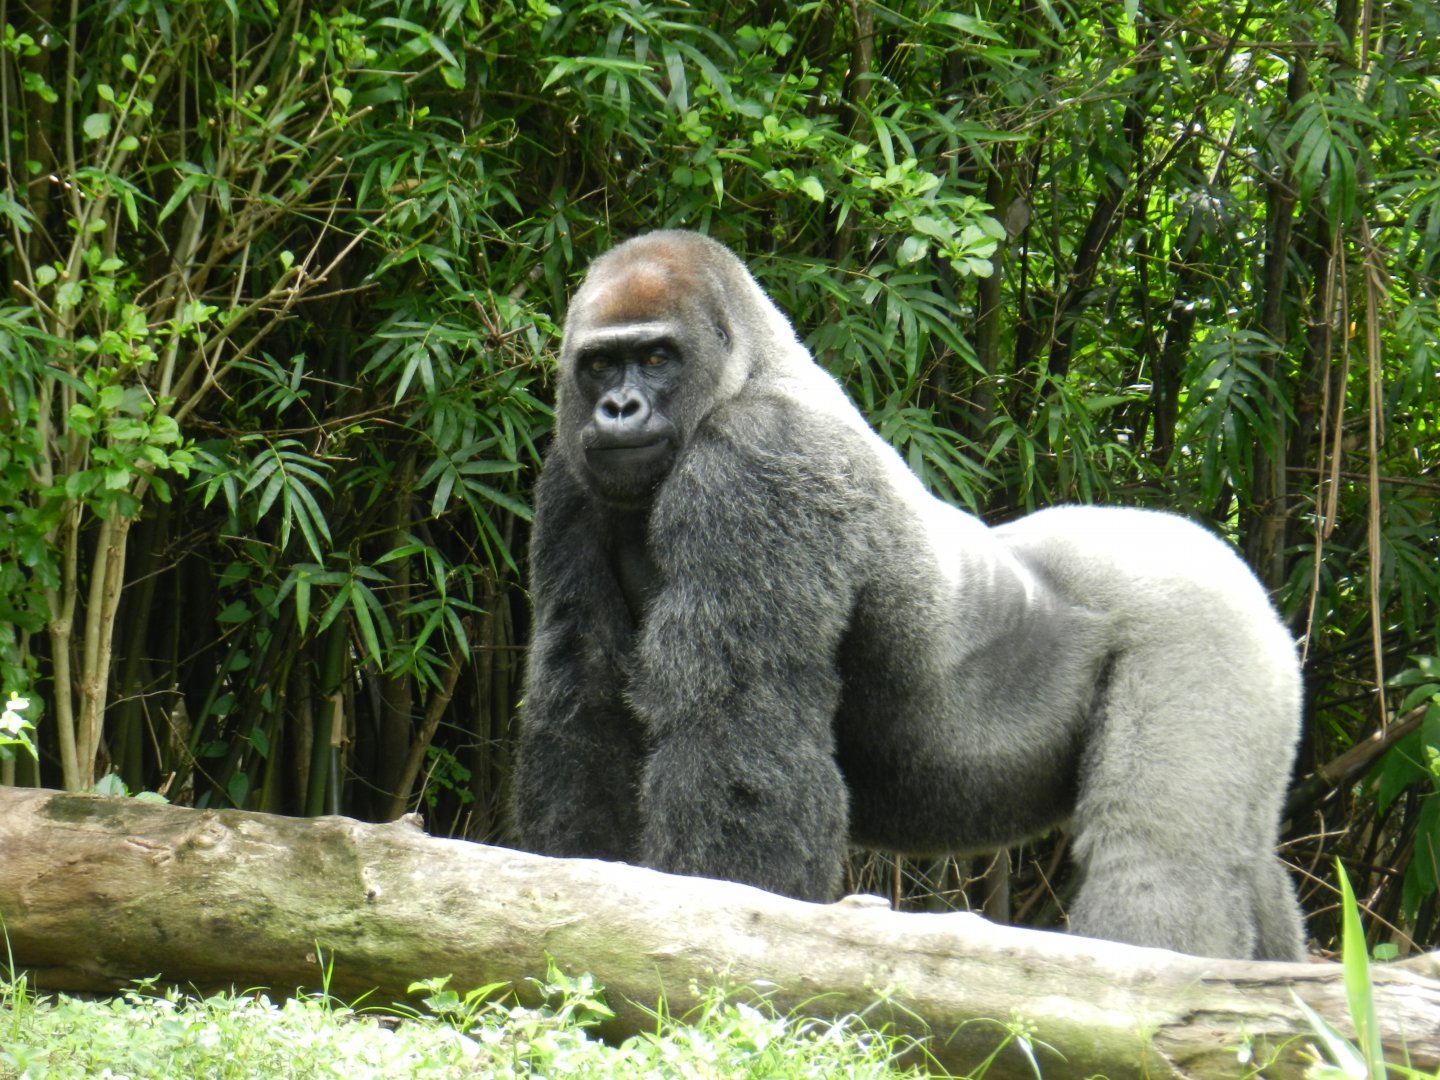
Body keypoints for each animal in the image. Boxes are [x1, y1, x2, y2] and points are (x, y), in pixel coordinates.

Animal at [512, 229, 1306, 961]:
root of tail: (1224, 558)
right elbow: (583, 702)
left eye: (656, 357)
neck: (748, 371)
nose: (618, 408)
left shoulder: (759, 458)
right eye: (599, 363)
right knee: (1243, 862)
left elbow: (736, 728)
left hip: (1201, 624)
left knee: (1161, 865)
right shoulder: (570, 476)